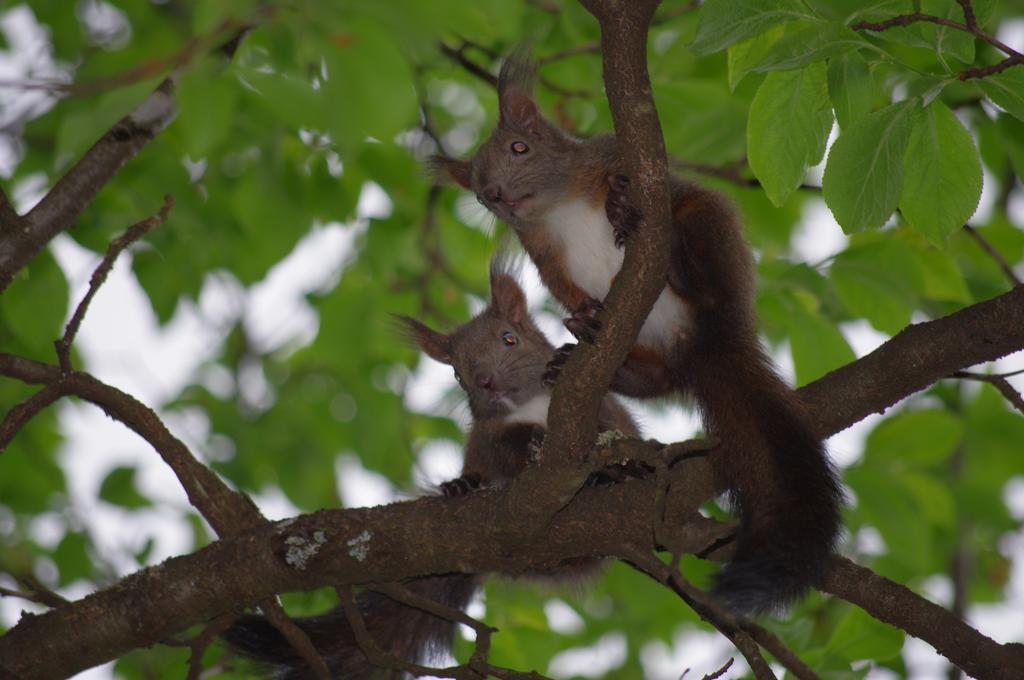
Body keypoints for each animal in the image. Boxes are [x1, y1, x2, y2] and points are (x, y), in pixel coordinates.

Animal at [224, 259, 638, 675]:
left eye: (509, 339)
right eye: (456, 372)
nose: (485, 381)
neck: (529, 408)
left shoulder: (606, 411)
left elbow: (610, 433)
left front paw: (561, 363)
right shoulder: (485, 442)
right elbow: (498, 455)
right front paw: (483, 471)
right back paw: (463, 487)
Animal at [436, 55, 843, 614]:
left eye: (520, 147)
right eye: (478, 193)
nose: (496, 194)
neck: (558, 206)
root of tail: (697, 342)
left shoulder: (611, 155)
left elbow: (649, 184)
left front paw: (621, 203)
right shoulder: (545, 257)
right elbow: (567, 289)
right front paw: (583, 315)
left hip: (712, 237)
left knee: (703, 258)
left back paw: (676, 263)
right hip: (650, 356)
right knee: (655, 379)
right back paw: (579, 353)